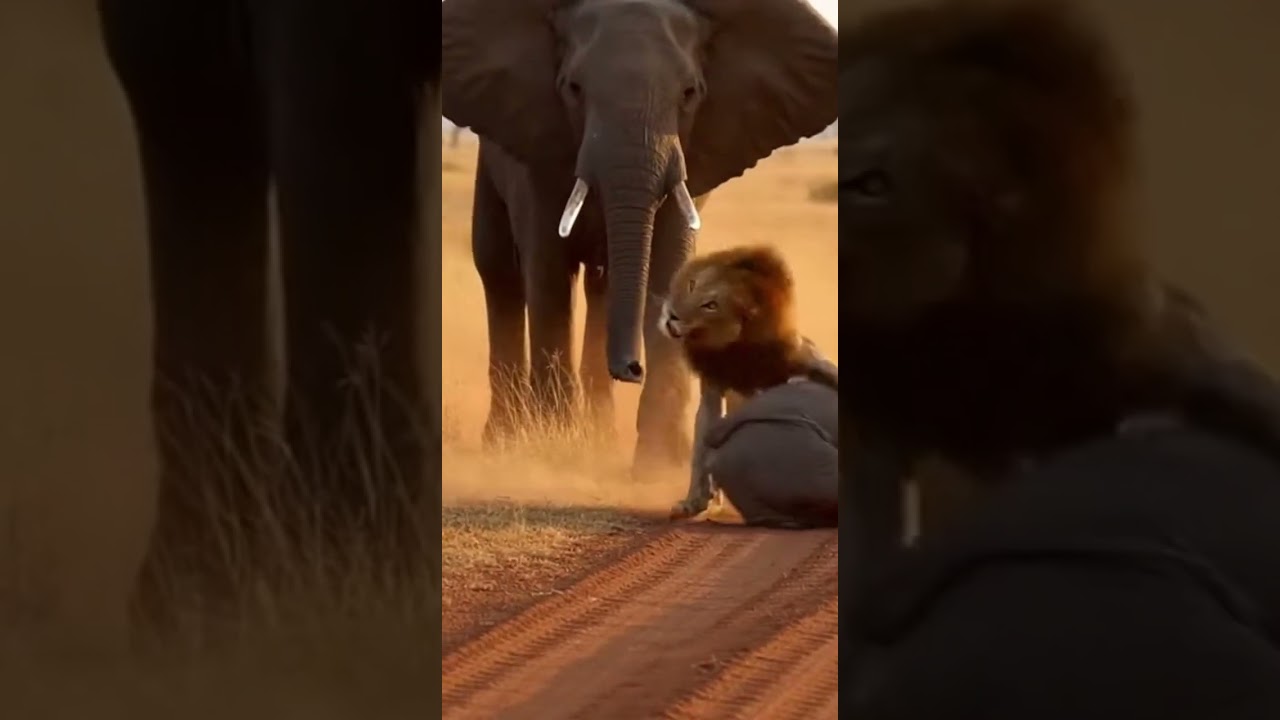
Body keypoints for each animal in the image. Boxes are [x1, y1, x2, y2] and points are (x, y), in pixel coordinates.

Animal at [441, 0, 838, 476]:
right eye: (573, 88)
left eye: (689, 92)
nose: (631, 368)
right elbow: (549, 275)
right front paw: (553, 446)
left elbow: (669, 264)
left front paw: (659, 464)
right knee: (500, 272)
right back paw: (505, 440)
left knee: (599, 289)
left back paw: (597, 436)